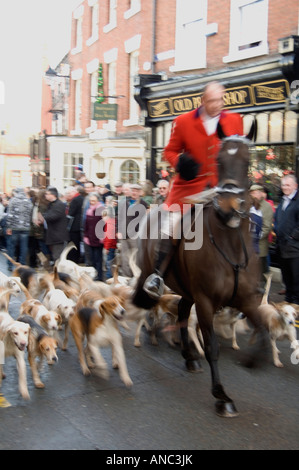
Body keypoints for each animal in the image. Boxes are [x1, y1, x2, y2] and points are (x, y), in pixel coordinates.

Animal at [132, 122, 268, 418]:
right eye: (219, 160)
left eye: (247, 161)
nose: (229, 208)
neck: (230, 243)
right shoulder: (206, 301)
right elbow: (212, 346)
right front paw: (221, 396)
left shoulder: (247, 300)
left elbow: (263, 331)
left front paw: (251, 361)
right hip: (154, 274)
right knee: (151, 301)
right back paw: (153, 333)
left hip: (187, 290)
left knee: (182, 311)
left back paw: (188, 356)